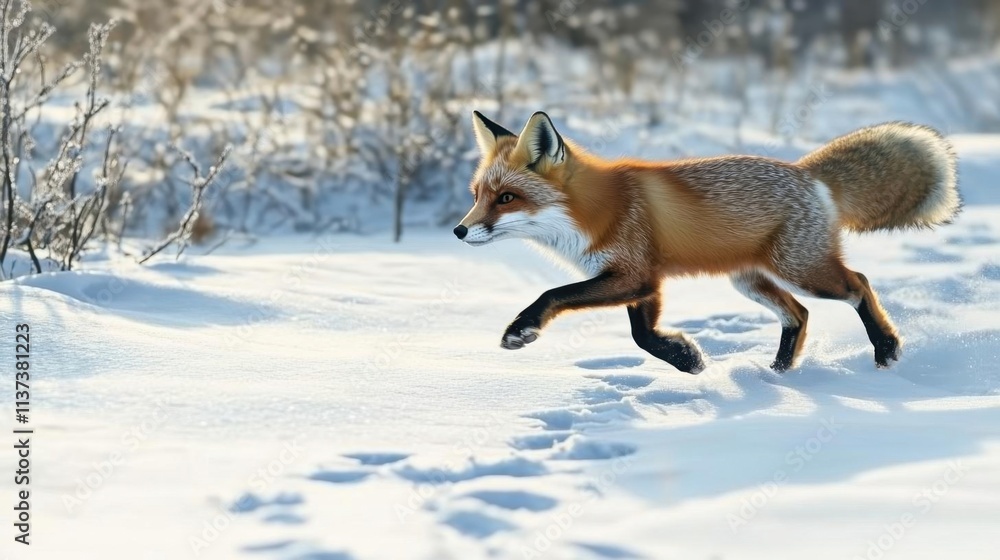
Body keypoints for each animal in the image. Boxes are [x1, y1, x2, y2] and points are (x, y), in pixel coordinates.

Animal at [454, 110, 960, 374]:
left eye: (507, 198)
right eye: (477, 195)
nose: (459, 231)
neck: (593, 211)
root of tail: (806, 173)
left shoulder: (633, 274)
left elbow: (554, 294)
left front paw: (522, 329)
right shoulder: (643, 281)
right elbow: (642, 335)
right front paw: (686, 358)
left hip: (803, 270)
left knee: (859, 284)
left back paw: (886, 349)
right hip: (750, 281)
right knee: (799, 314)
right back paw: (778, 374)